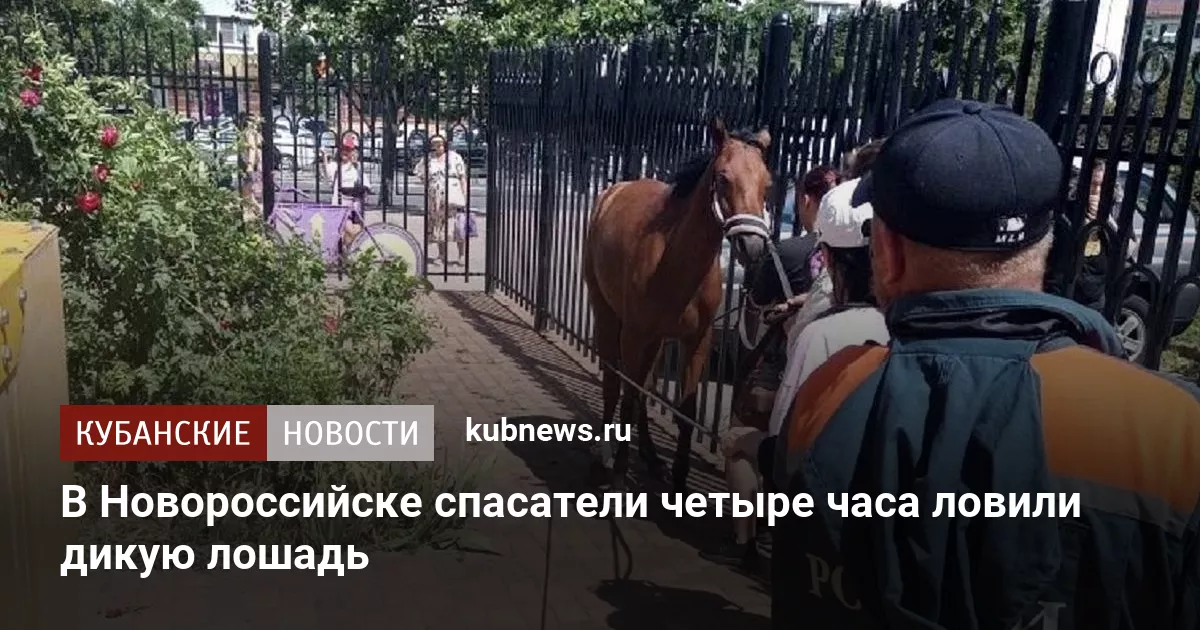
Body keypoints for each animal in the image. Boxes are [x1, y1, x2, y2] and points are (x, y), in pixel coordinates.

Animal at [583, 117, 774, 492]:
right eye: (723, 177)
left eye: (768, 184)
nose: (753, 246)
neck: (673, 261)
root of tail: (612, 192)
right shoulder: (635, 335)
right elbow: (628, 394)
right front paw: (619, 474)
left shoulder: (697, 339)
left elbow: (684, 410)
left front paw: (679, 480)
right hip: (607, 316)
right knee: (615, 383)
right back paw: (606, 453)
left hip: (656, 340)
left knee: (645, 387)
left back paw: (651, 457)